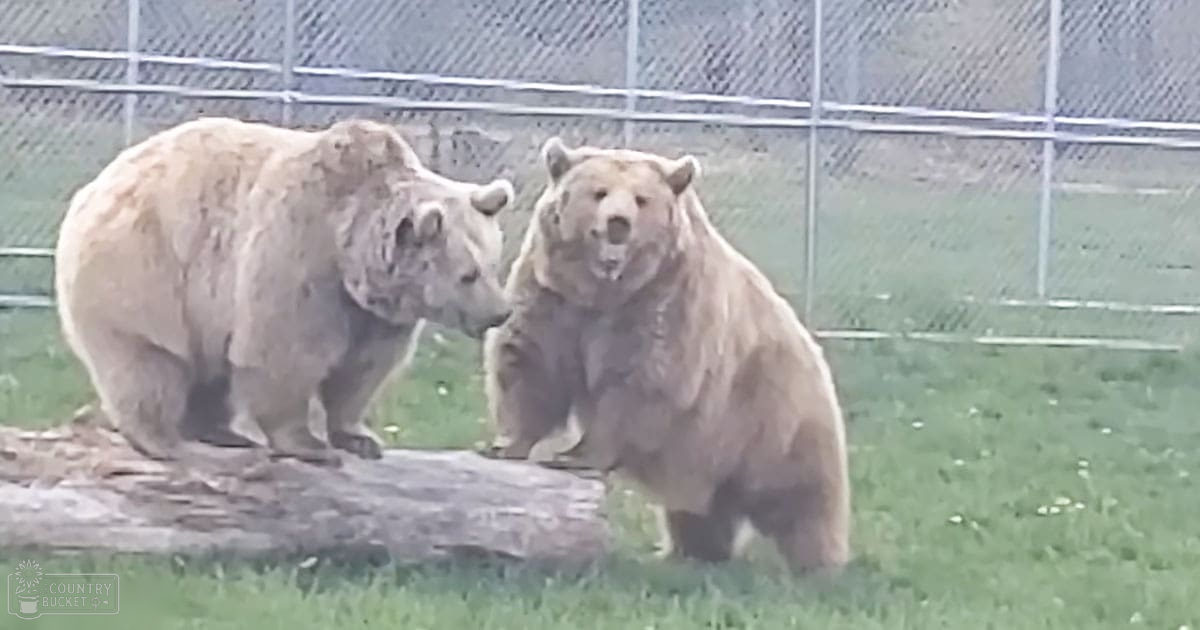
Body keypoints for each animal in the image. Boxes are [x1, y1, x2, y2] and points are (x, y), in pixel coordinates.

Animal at [54, 116, 515, 465]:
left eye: (494, 264)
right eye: (468, 274)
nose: (499, 313)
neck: (350, 255)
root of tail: (94, 187)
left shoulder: (372, 313)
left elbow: (362, 370)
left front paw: (358, 437)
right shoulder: (297, 257)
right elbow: (286, 354)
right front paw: (309, 444)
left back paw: (222, 432)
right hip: (146, 276)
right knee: (148, 362)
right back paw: (160, 438)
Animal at [482, 137, 851, 573]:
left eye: (641, 199)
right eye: (599, 192)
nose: (618, 223)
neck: (603, 292)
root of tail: (814, 349)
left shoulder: (662, 303)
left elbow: (639, 383)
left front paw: (573, 454)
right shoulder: (552, 297)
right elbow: (530, 363)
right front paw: (504, 444)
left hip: (774, 420)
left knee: (804, 501)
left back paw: (817, 564)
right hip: (707, 452)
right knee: (699, 514)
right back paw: (691, 552)